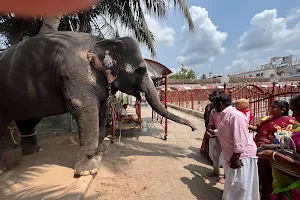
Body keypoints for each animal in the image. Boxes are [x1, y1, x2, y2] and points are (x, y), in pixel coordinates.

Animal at [0, 30, 197, 176]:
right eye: (141, 70)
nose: (195, 128)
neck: (102, 42)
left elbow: (102, 108)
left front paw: (101, 149)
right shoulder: (76, 72)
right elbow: (84, 108)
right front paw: (87, 170)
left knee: (27, 121)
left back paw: (35, 151)